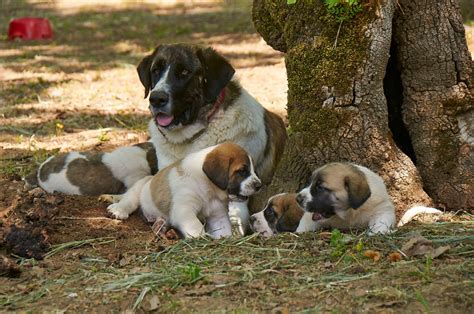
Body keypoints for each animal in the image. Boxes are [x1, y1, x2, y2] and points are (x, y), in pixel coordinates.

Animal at [105, 142, 262, 238]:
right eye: (242, 171)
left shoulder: (218, 216)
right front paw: (200, 237)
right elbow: (195, 226)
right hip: (140, 187)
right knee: (129, 199)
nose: (259, 185)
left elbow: (223, 229)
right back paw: (118, 210)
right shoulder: (184, 209)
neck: (208, 188)